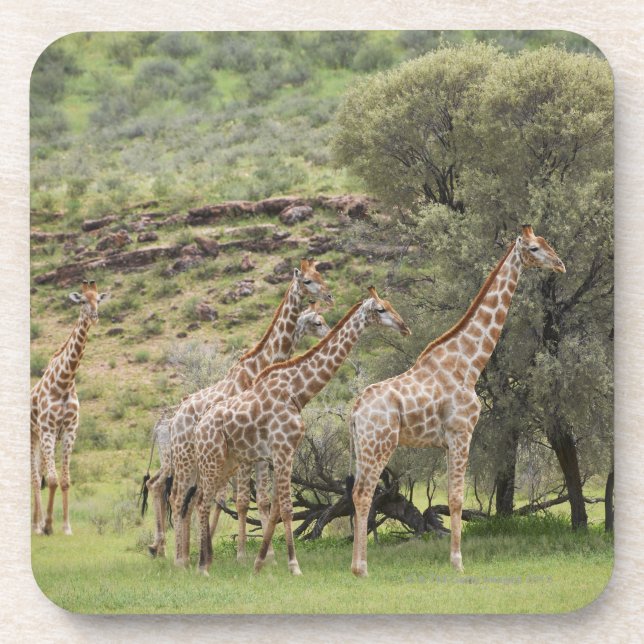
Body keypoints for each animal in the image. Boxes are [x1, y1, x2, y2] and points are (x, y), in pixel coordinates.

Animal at [31, 280, 109, 535]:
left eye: (99, 299)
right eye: (82, 300)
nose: (95, 316)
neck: (64, 382)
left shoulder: (68, 430)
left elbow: (64, 480)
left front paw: (65, 526)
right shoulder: (48, 429)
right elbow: (53, 480)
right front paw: (48, 525)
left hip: (41, 438)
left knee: (38, 476)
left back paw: (36, 522)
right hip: (33, 435)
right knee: (35, 478)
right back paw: (37, 526)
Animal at [162, 259, 334, 565]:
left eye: (320, 275)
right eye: (308, 281)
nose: (329, 295)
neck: (259, 366)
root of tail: (175, 418)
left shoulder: (258, 451)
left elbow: (261, 499)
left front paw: (269, 555)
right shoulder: (246, 451)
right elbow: (242, 500)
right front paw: (243, 554)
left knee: (191, 501)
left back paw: (191, 554)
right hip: (185, 458)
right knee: (178, 498)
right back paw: (180, 559)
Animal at [189, 287, 411, 576]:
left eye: (392, 305)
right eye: (381, 309)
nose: (405, 327)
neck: (297, 391)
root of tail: (198, 427)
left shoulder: (284, 452)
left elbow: (273, 508)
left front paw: (260, 563)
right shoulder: (282, 449)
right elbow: (285, 507)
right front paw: (293, 566)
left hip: (227, 461)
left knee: (202, 500)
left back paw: (203, 561)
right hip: (212, 459)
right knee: (203, 502)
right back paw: (202, 566)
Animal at [349, 226, 565, 577]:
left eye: (547, 242)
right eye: (534, 248)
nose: (560, 264)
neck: (470, 362)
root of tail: (354, 411)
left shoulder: (449, 441)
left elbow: (453, 498)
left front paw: (454, 559)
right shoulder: (462, 432)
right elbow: (456, 500)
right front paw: (457, 562)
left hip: (361, 447)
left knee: (357, 493)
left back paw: (357, 566)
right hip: (379, 443)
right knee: (365, 493)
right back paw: (362, 569)